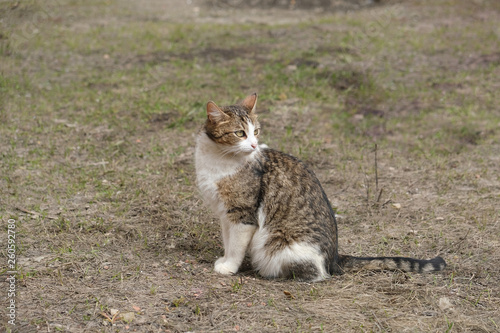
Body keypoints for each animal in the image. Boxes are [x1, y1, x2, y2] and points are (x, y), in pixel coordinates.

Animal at [193, 92, 448, 280]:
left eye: (255, 132)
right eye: (239, 133)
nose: (254, 145)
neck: (218, 160)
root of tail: (335, 257)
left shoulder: (243, 215)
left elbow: (236, 246)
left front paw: (229, 267)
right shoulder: (225, 214)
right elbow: (228, 241)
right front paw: (224, 260)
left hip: (279, 246)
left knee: (315, 272)